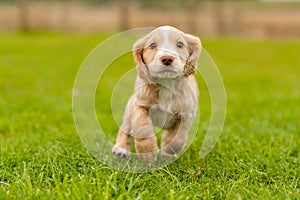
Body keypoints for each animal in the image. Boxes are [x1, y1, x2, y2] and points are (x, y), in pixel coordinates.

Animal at [112, 25, 202, 163]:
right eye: (153, 45)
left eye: (180, 44)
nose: (167, 59)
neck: (166, 84)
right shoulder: (138, 105)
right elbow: (142, 126)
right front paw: (147, 152)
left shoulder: (187, 113)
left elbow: (179, 137)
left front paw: (168, 149)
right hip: (128, 111)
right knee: (125, 128)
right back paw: (120, 150)